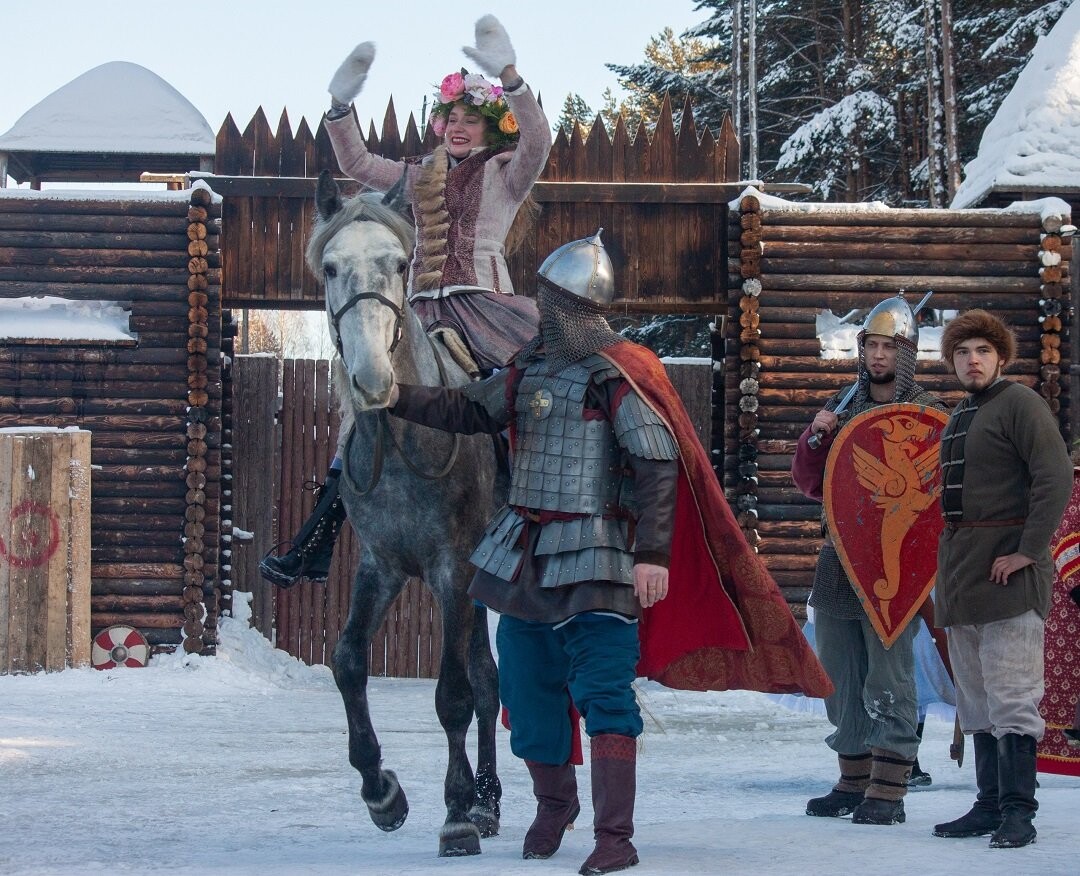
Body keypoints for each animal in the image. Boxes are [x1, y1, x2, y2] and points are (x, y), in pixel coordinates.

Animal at [308, 169, 501, 855]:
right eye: (331, 267)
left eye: (397, 263)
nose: (372, 381)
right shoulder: (381, 566)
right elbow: (348, 663)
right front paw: (381, 791)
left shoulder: (453, 571)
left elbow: (451, 694)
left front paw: (455, 812)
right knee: (492, 682)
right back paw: (490, 801)